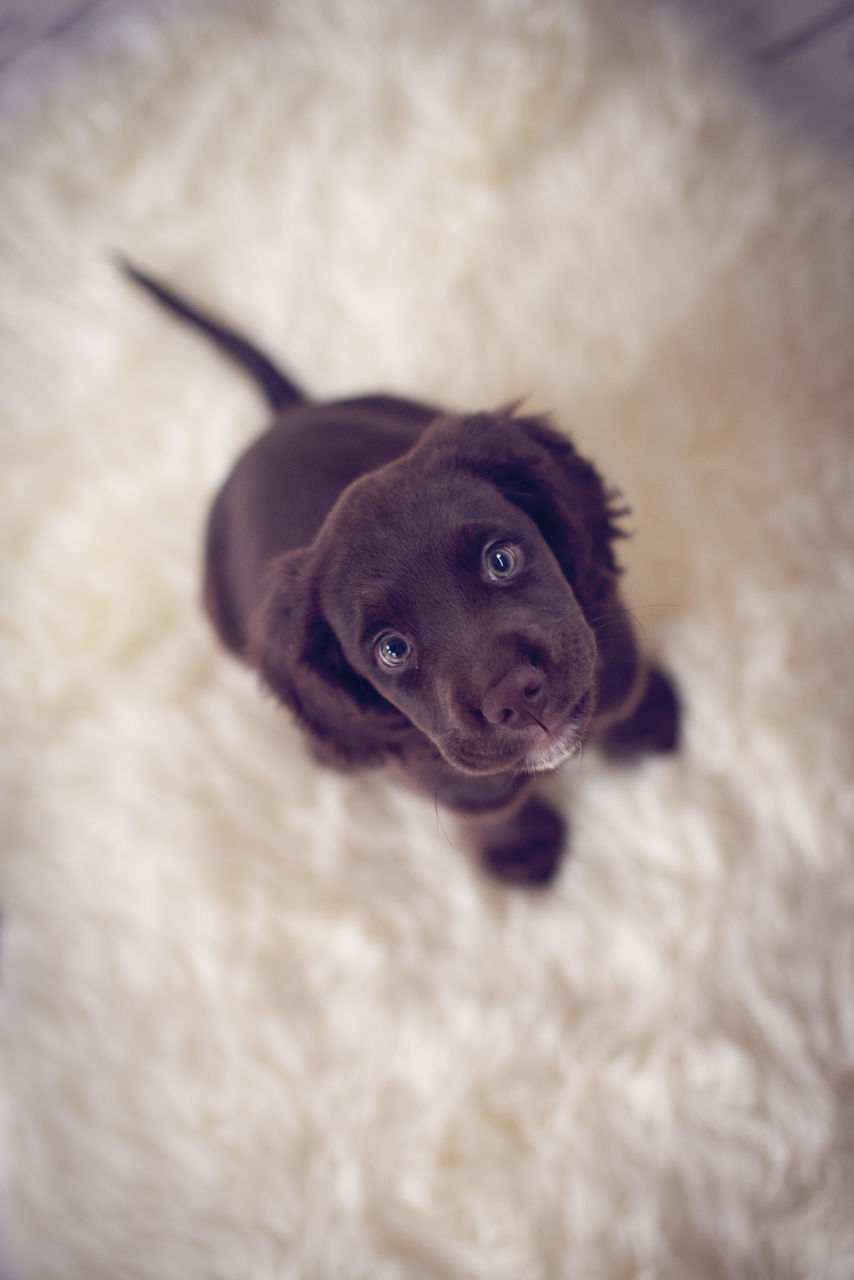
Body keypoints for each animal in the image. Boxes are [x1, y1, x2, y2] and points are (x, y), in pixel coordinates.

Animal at [121, 257, 681, 880]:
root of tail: (284, 420)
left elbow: (622, 690)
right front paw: (519, 849)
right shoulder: (446, 778)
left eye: (501, 560)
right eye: (392, 649)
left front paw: (649, 718)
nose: (516, 695)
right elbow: (491, 807)